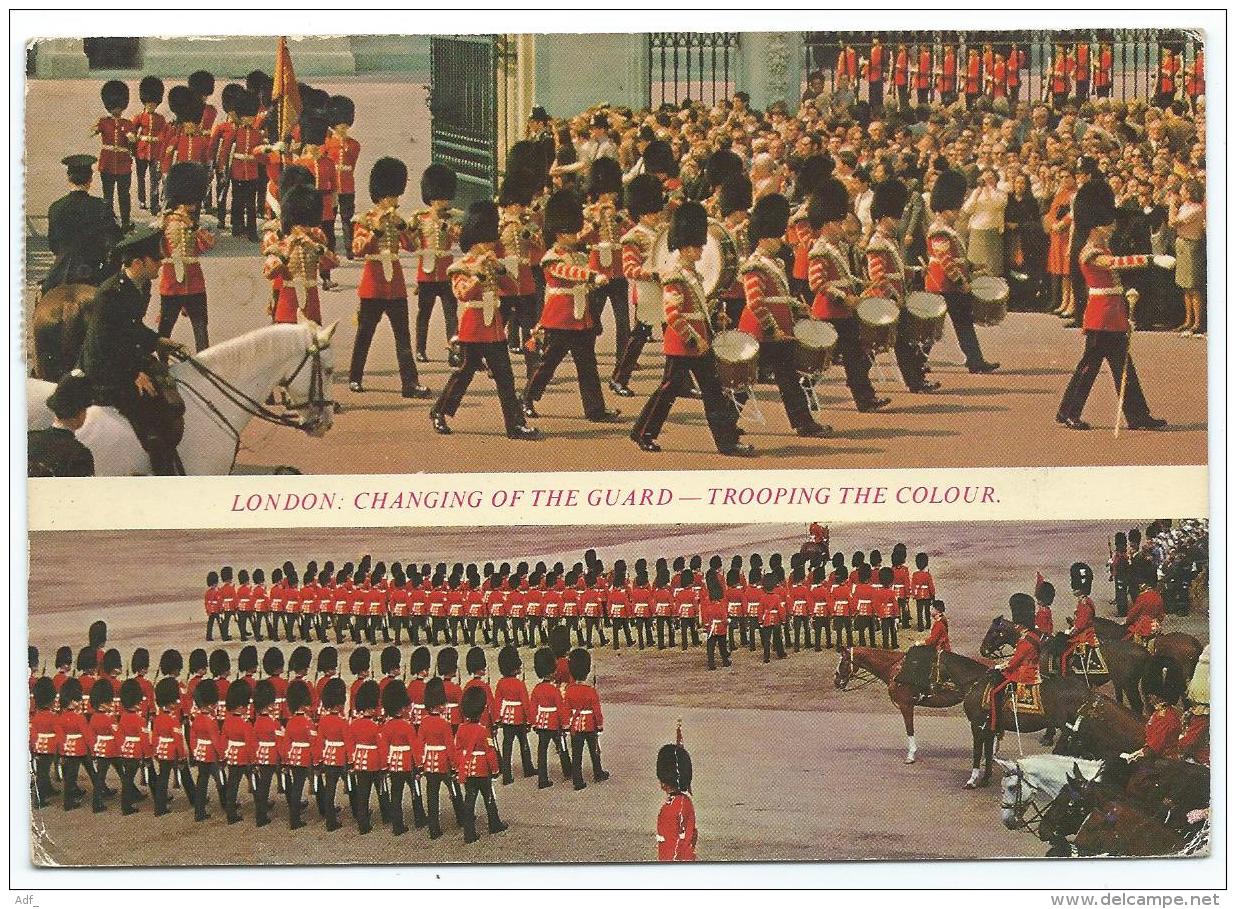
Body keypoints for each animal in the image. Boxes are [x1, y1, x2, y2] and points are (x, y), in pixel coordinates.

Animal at [835, 648, 988, 766]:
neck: (897, 670)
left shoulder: (906, 706)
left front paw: (911, 755)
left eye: (843, 661)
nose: (836, 681)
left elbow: (909, 729)